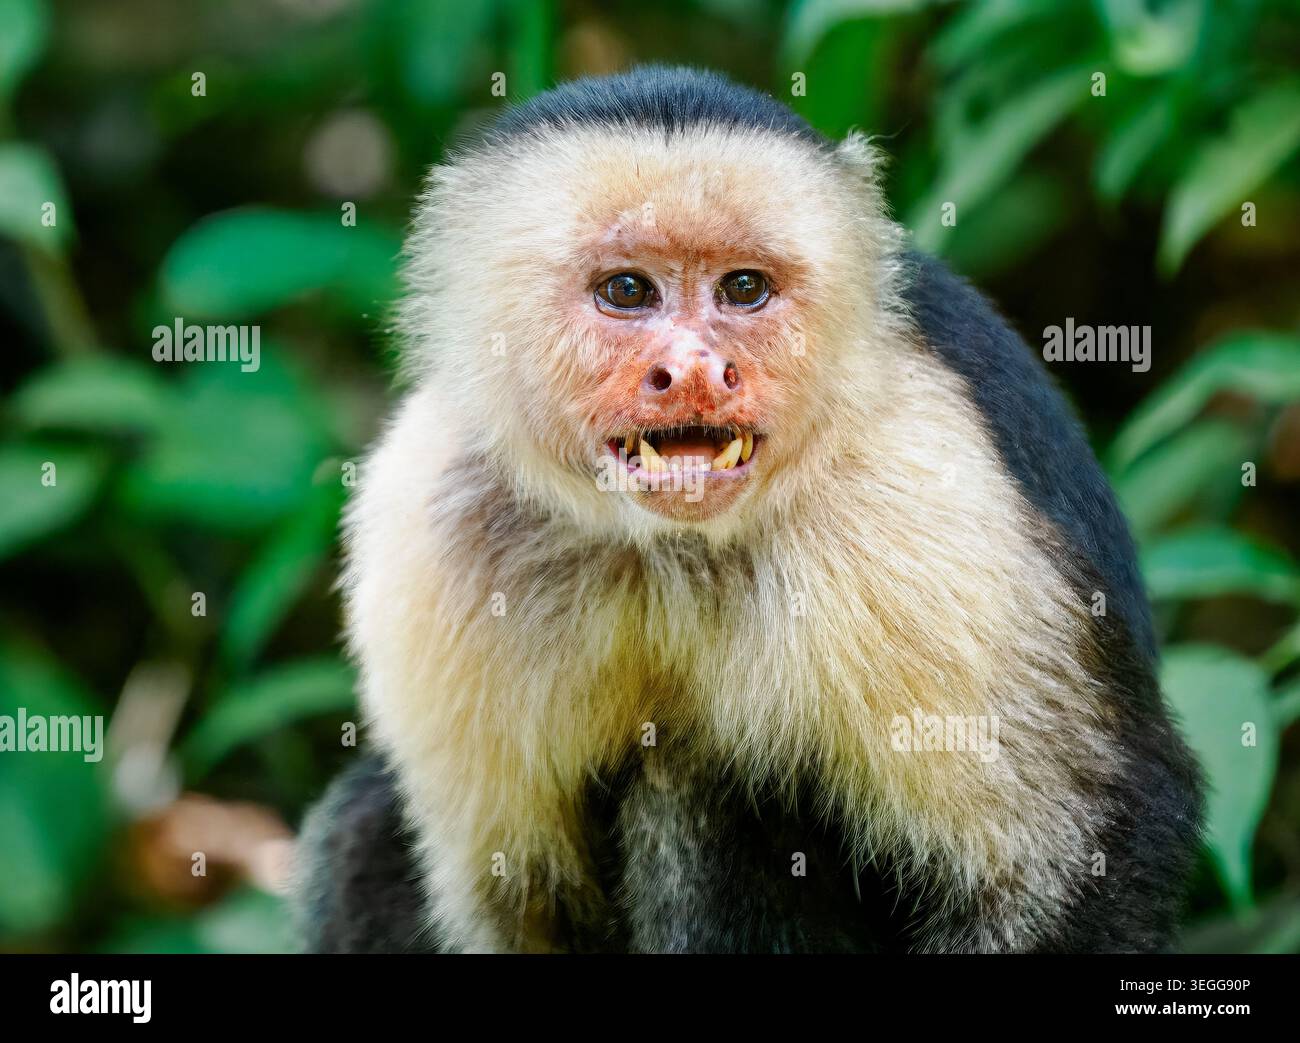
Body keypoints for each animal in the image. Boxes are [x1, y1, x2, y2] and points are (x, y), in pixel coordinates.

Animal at [292, 66, 1203, 954]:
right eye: (628, 290)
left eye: (743, 289)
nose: (697, 371)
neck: (668, 545)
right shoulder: (432, 515)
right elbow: (522, 907)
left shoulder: (913, 490)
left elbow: (1077, 854)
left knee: (691, 778)